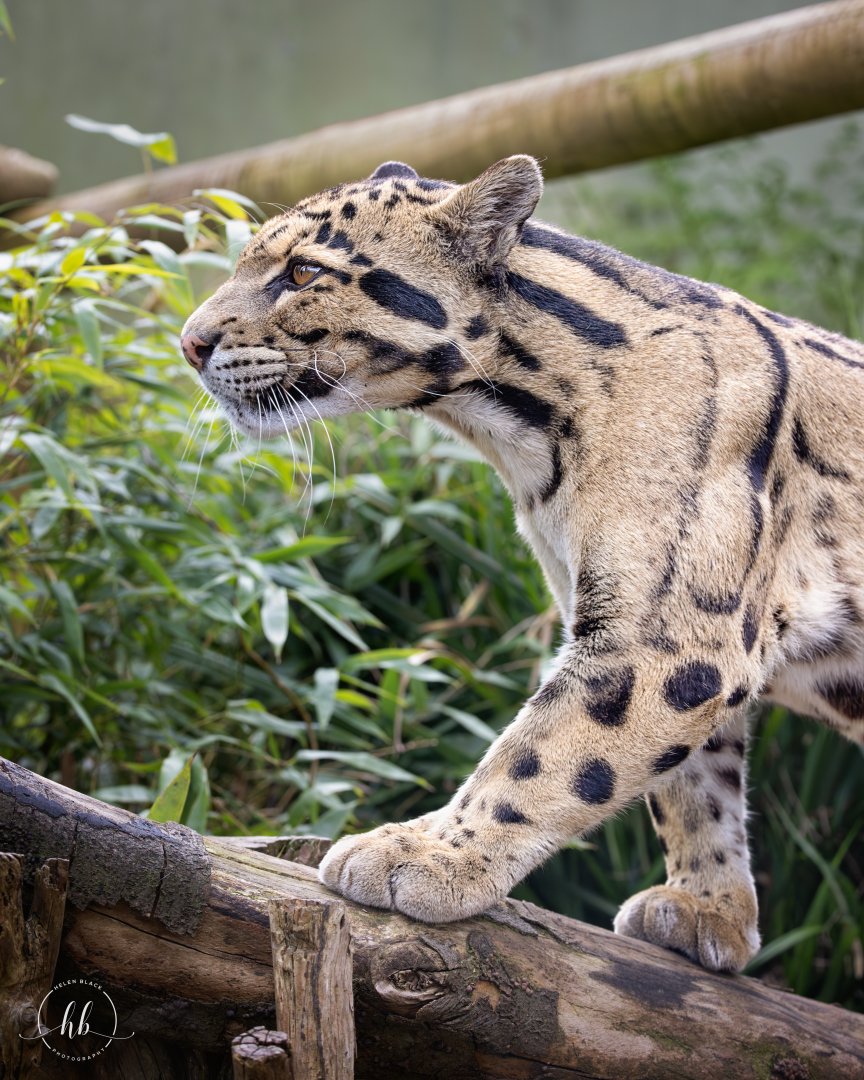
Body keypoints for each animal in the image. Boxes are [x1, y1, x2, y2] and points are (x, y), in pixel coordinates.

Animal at [181, 155, 864, 973]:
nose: (188, 342)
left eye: (305, 271)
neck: (520, 436)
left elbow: (544, 755)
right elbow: (697, 784)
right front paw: (709, 910)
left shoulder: (667, 638)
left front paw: (427, 856)